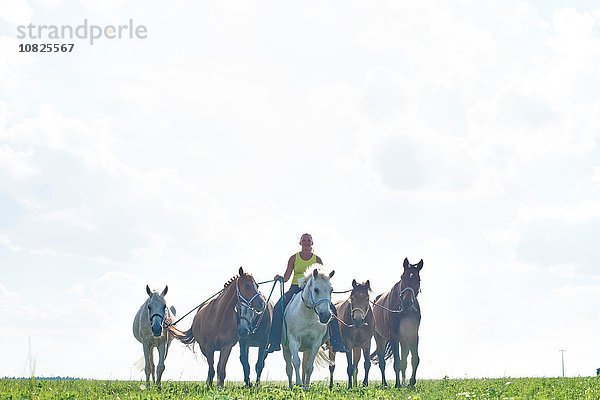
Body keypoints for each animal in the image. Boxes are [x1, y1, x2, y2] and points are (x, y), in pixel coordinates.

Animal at [370, 260, 422, 388]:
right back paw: (385, 384)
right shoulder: (393, 337)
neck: (404, 312)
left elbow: (414, 360)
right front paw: (397, 385)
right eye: (402, 277)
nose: (407, 302)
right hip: (380, 338)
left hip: (404, 341)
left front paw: (411, 383)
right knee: (382, 362)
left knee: (404, 360)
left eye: (418, 280)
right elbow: (397, 362)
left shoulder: (413, 336)